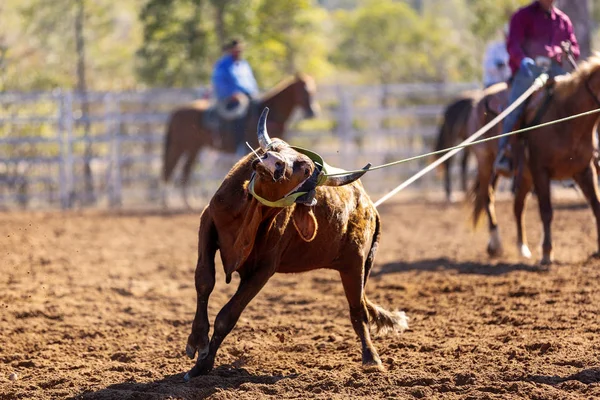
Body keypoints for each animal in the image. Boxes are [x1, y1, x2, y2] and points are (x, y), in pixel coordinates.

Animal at [159, 72, 318, 208]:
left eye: (312, 91)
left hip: (194, 148)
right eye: (304, 91)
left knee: (186, 170)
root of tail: (176, 113)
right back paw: (166, 202)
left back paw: (187, 202)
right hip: (180, 146)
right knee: (170, 168)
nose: (312, 112)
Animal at [472, 55, 600, 262]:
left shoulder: (584, 170)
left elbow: (596, 206)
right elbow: (546, 211)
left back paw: (522, 248)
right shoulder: (540, 170)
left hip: (524, 175)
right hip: (486, 163)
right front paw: (547, 253)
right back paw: (495, 245)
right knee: (487, 197)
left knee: (518, 206)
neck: (567, 118)